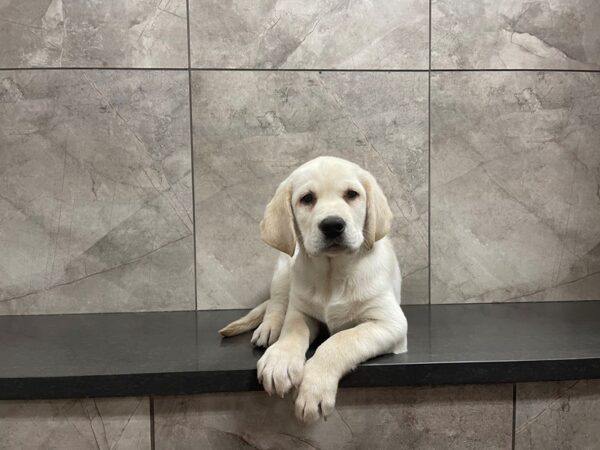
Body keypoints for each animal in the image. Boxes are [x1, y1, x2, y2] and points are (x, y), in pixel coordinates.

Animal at [219, 156, 408, 424]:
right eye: (307, 198)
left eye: (352, 194)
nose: (332, 225)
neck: (332, 272)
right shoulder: (301, 311)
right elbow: (293, 330)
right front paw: (280, 360)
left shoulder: (390, 323)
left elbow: (340, 340)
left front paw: (314, 390)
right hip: (283, 269)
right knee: (277, 303)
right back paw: (269, 328)